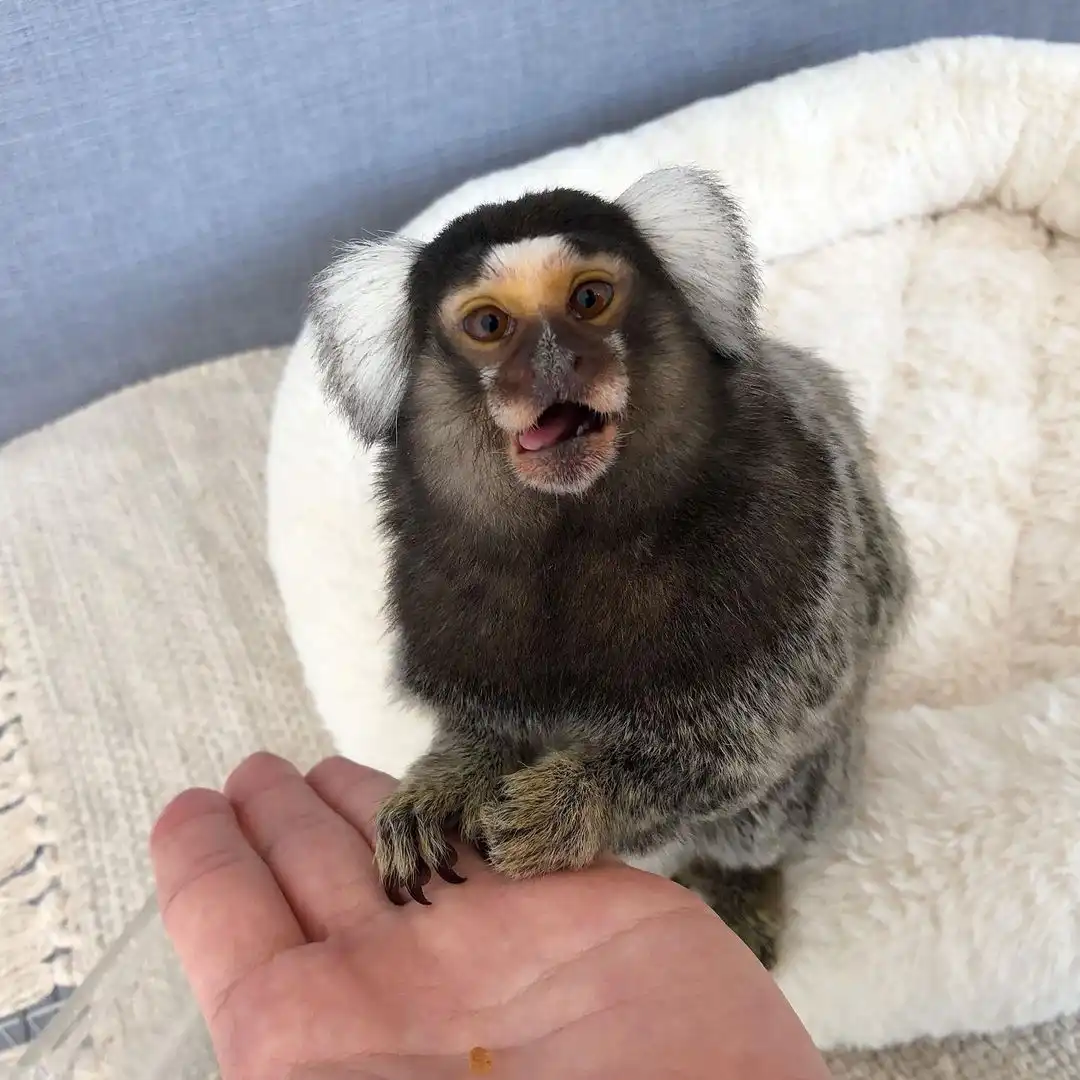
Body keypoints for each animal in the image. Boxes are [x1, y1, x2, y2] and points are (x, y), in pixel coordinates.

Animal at [307, 166, 912, 968]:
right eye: (489, 326)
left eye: (589, 299)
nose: (555, 361)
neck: (573, 534)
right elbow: (481, 723)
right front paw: (442, 785)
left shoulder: (801, 552)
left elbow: (740, 750)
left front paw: (570, 806)